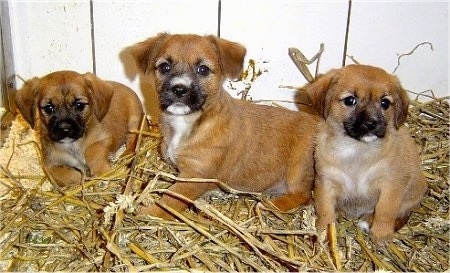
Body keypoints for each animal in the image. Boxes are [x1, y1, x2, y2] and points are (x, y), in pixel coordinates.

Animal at [15, 69, 143, 185]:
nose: (65, 129)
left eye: (79, 105)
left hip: (134, 122)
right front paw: (81, 177)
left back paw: (126, 155)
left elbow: (91, 151)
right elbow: (63, 174)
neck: (73, 145)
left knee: (133, 141)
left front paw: (100, 172)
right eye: (48, 108)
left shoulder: (105, 139)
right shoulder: (49, 165)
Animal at [130, 32, 320, 219]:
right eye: (164, 67)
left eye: (203, 69)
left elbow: (170, 200)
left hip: (299, 167)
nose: (179, 89)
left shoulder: (194, 178)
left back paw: (270, 205)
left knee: (303, 195)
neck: (187, 123)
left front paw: (148, 214)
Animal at [304, 64, 428, 242]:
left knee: (400, 212)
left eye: (385, 103)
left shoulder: (391, 185)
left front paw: (381, 234)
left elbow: (385, 210)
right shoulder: (325, 182)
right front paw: (324, 231)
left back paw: (368, 220)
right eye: (350, 100)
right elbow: (325, 209)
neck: (357, 150)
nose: (371, 124)